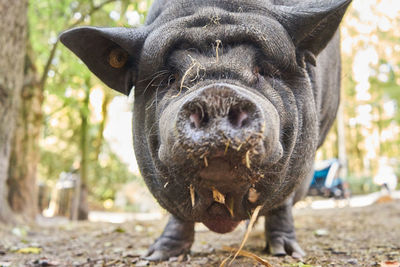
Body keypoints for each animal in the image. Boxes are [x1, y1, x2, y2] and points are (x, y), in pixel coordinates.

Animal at [61, 0, 352, 260]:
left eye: (262, 70)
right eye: (170, 78)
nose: (217, 94)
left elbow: (283, 200)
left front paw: (286, 253)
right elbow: (178, 211)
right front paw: (157, 255)